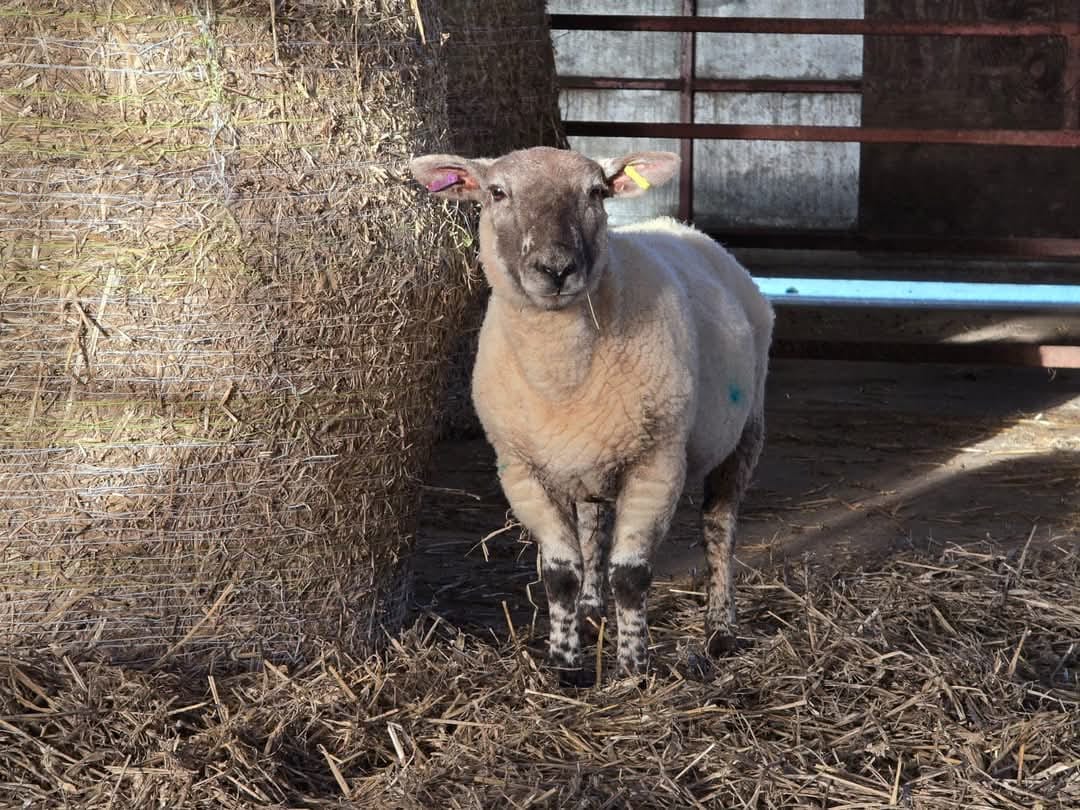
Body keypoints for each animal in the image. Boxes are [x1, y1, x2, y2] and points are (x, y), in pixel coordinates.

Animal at [411, 146, 774, 684]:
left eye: (597, 193)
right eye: (497, 192)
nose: (556, 268)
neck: (563, 374)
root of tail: (681, 225)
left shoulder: (657, 465)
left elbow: (632, 575)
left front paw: (634, 670)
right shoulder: (521, 472)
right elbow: (561, 572)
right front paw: (566, 664)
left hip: (747, 430)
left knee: (719, 527)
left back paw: (721, 627)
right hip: (588, 460)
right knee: (593, 529)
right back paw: (590, 611)